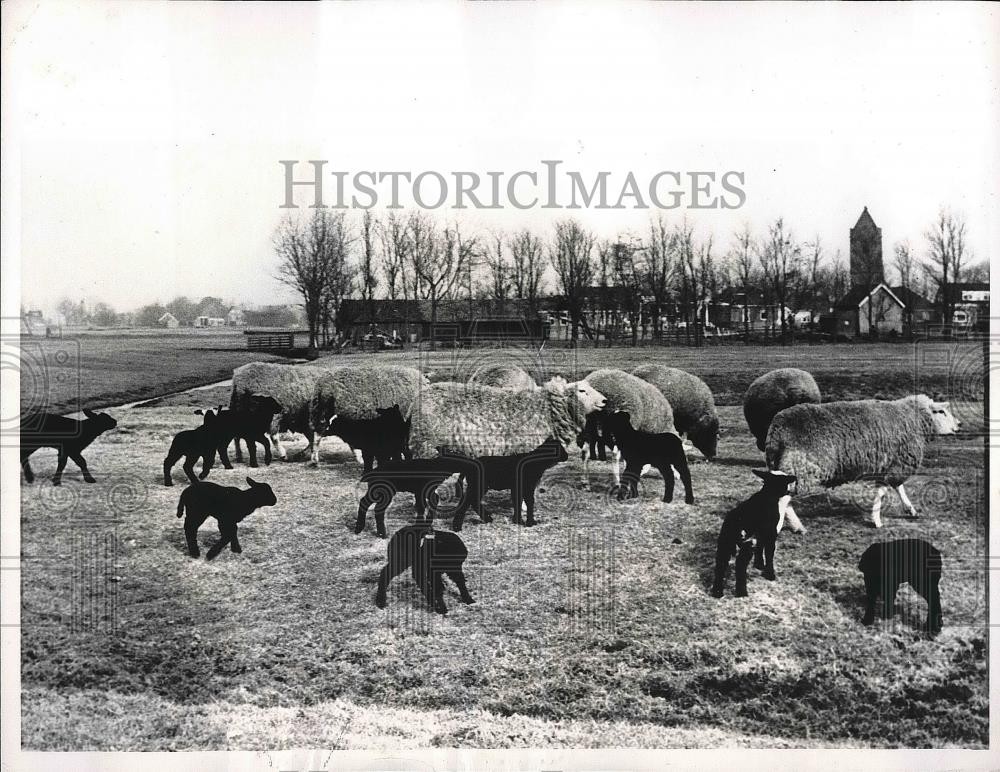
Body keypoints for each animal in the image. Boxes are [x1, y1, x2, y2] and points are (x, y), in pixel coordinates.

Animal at [710, 469, 797, 598]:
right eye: (785, 480)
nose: (794, 478)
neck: (768, 495)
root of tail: (735, 522)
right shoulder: (771, 534)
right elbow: (769, 553)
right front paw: (770, 574)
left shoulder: (760, 535)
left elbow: (760, 548)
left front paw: (759, 565)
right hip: (747, 543)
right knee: (740, 565)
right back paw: (742, 592)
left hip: (725, 542)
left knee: (721, 564)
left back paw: (717, 592)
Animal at [765, 394, 960, 531]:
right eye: (942, 412)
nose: (959, 425)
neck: (915, 420)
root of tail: (778, 430)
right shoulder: (898, 463)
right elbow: (884, 492)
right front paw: (877, 520)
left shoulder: (890, 464)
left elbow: (897, 488)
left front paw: (910, 510)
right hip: (801, 466)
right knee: (784, 499)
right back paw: (790, 526)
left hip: (784, 465)